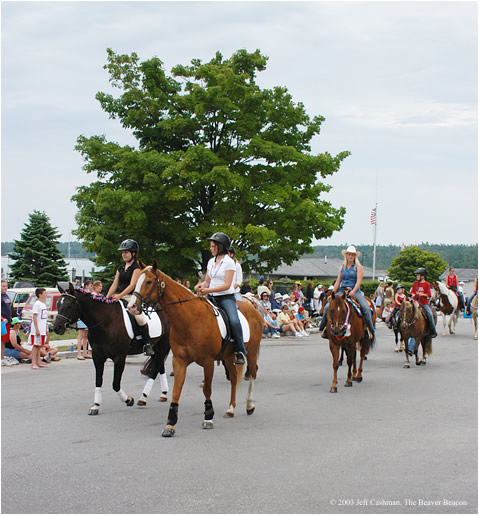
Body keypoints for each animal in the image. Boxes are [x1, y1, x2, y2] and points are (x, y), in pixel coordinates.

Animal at [128, 264, 262, 438]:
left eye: (149, 281)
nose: (131, 306)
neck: (189, 320)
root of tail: (255, 309)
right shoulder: (179, 361)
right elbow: (176, 390)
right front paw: (170, 424)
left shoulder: (208, 362)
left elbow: (207, 389)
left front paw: (208, 418)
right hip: (227, 357)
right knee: (233, 378)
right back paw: (231, 408)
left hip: (250, 353)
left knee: (252, 373)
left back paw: (249, 405)